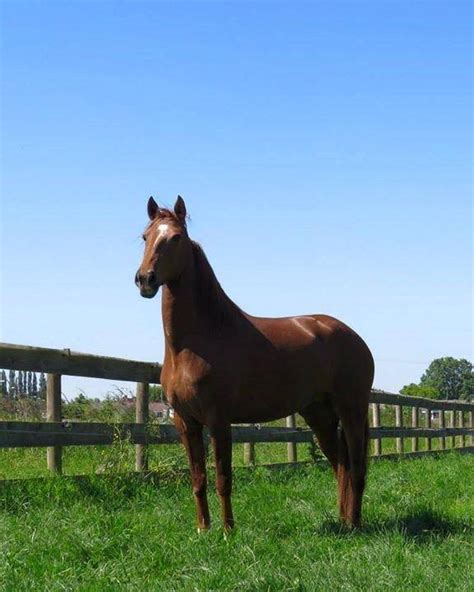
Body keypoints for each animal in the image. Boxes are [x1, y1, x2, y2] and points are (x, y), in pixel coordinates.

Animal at [134, 197, 374, 528]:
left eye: (176, 237)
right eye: (145, 237)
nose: (145, 279)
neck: (200, 338)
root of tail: (355, 338)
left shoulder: (218, 420)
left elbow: (223, 478)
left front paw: (228, 530)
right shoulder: (186, 422)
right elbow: (198, 479)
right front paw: (203, 529)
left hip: (351, 409)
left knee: (357, 466)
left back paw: (355, 524)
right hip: (319, 415)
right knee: (341, 465)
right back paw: (343, 521)